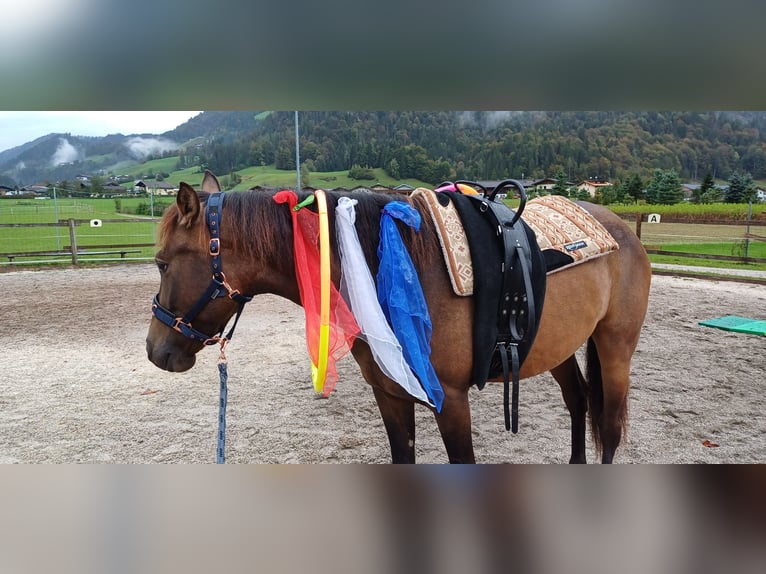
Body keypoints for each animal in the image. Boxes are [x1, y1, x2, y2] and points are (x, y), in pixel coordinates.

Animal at [147, 171, 652, 464]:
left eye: (162, 263)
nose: (156, 351)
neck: (383, 264)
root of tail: (621, 227)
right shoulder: (390, 394)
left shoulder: (450, 399)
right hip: (556, 346)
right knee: (578, 402)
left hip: (614, 347)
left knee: (608, 426)